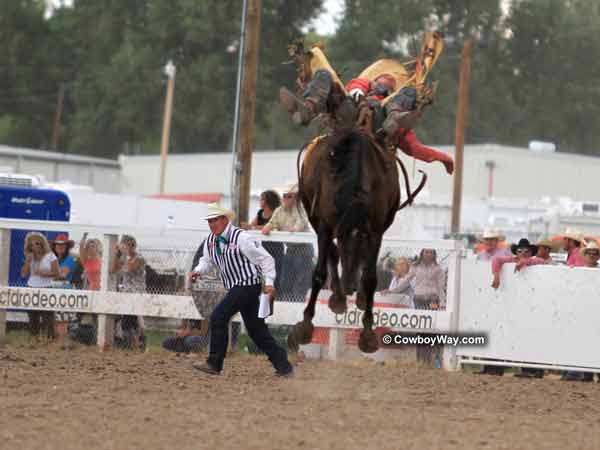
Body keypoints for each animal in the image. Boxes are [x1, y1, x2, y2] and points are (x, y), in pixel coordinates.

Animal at [290, 129, 404, 352]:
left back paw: (357, 297)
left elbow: (370, 278)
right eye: (344, 245)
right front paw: (305, 327)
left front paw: (367, 334)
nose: (349, 286)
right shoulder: (325, 226)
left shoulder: (375, 232)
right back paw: (338, 298)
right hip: (313, 216)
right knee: (330, 255)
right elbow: (320, 273)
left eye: (362, 248)